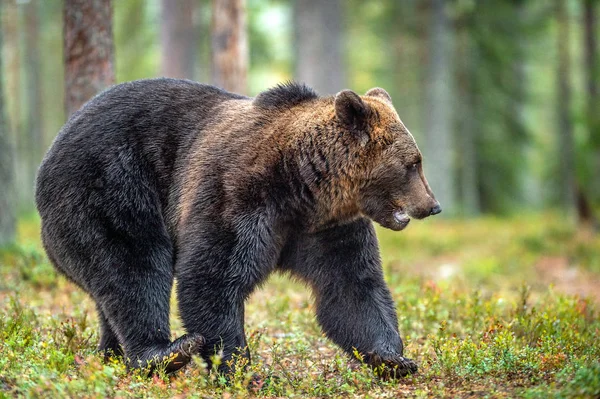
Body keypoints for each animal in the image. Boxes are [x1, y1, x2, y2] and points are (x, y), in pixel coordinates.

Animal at [36, 79, 440, 382]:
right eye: (413, 163)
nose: (433, 205)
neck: (304, 184)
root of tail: (52, 147)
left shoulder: (327, 227)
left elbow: (352, 287)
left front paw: (393, 359)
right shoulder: (237, 195)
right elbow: (211, 278)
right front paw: (242, 368)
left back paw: (113, 355)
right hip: (108, 187)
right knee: (133, 265)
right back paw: (165, 353)